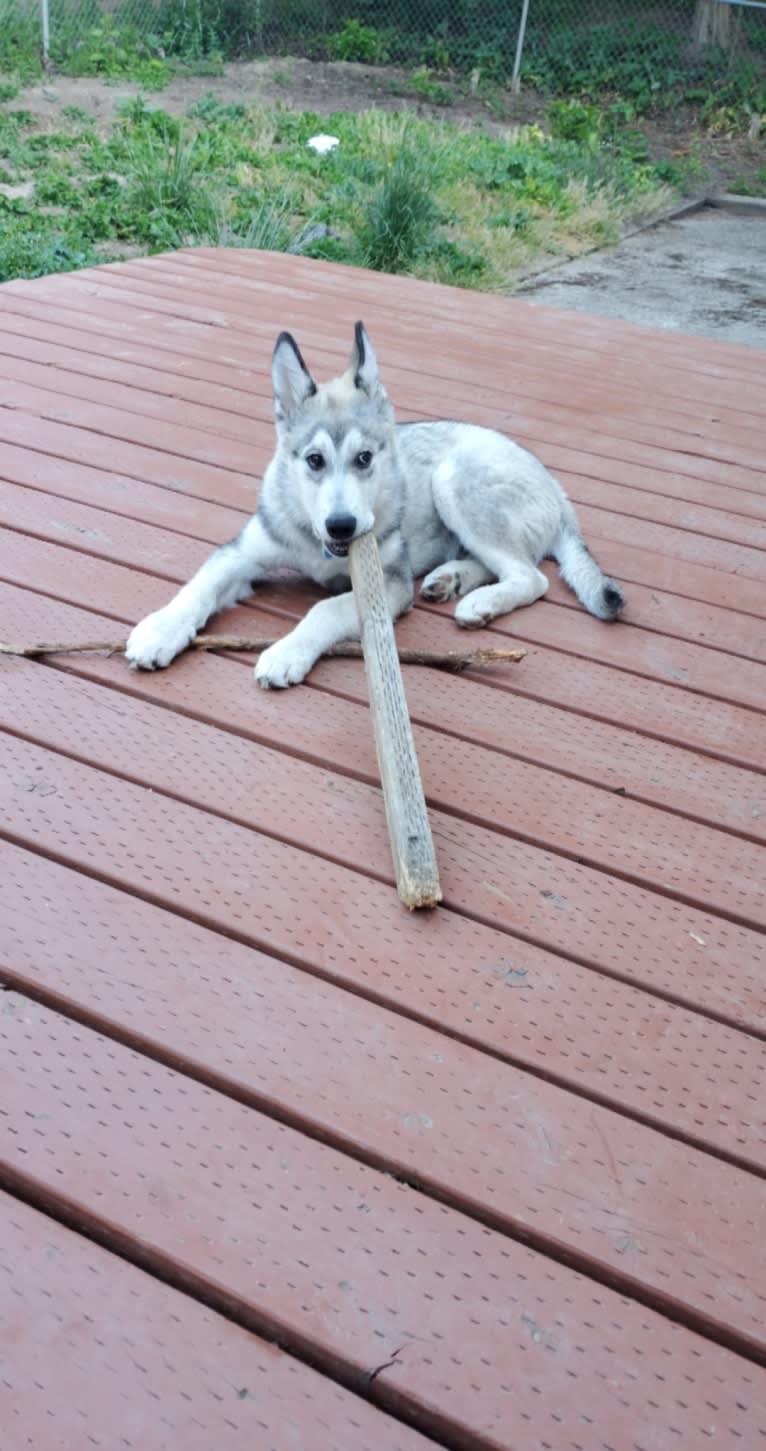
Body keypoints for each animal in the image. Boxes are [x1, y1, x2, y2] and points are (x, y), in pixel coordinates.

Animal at [125, 322, 620, 690]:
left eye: (364, 458)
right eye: (314, 460)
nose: (342, 526)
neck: (319, 547)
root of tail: (555, 486)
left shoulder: (388, 583)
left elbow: (326, 609)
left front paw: (287, 652)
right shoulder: (243, 552)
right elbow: (198, 586)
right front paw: (161, 630)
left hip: (452, 480)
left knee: (531, 576)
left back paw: (480, 601)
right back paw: (451, 579)